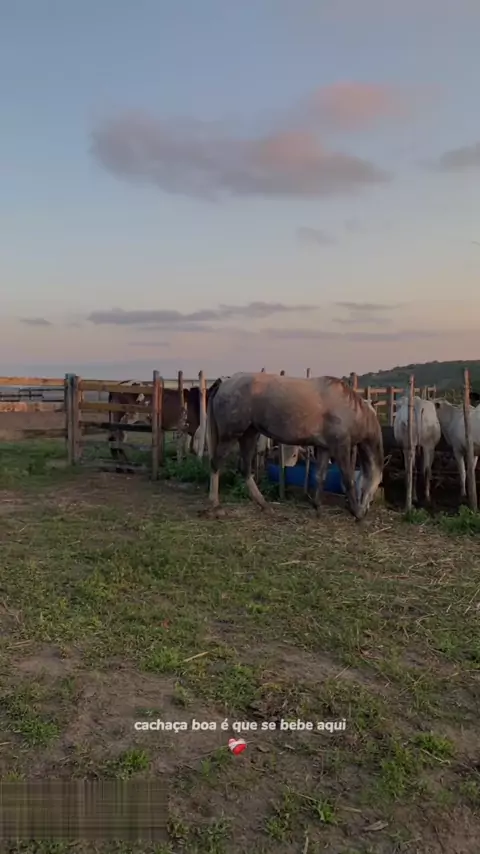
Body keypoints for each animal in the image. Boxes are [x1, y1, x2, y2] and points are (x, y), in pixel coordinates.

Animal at [196, 372, 384, 520]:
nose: (365, 510)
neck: (349, 409)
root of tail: (224, 384)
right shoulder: (340, 447)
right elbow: (348, 479)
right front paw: (356, 513)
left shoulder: (324, 448)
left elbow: (320, 476)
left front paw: (317, 507)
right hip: (231, 436)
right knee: (216, 464)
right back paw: (216, 506)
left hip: (249, 435)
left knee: (245, 469)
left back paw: (264, 505)